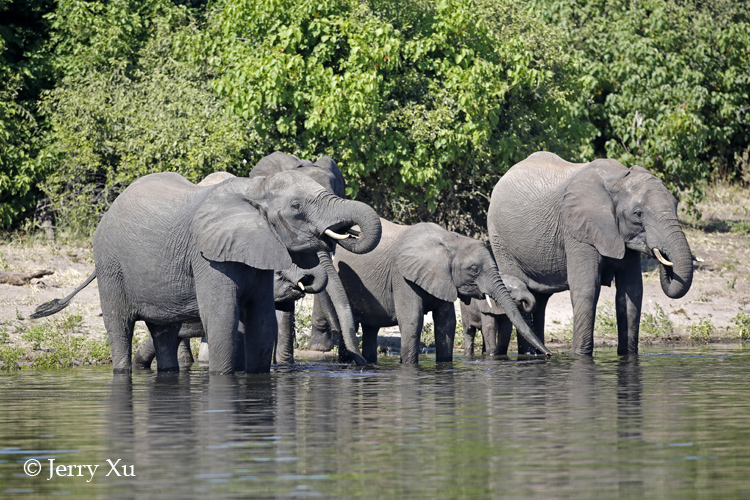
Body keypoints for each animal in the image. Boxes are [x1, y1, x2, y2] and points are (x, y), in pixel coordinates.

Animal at [30, 170, 382, 374]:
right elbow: (223, 320)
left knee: (164, 333)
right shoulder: (207, 256)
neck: (253, 189)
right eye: (296, 208)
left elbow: (262, 323)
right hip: (110, 264)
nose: (357, 365)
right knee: (119, 328)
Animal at [308, 219, 548, 364]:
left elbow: (446, 322)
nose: (548, 355)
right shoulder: (402, 275)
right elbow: (412, 320)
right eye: (473, 269)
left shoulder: (443, 279)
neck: (449, 240)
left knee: (370, 329)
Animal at [490, 152, 696, 356]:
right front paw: (581, 356)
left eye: (676, 205)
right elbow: (587, 290)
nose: (662, 255)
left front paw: (628, 355)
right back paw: (528, 355)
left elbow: (632, 292)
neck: (618, 179)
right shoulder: (578, 231)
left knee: (539, 300)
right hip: (501, 241)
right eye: (638, 214)